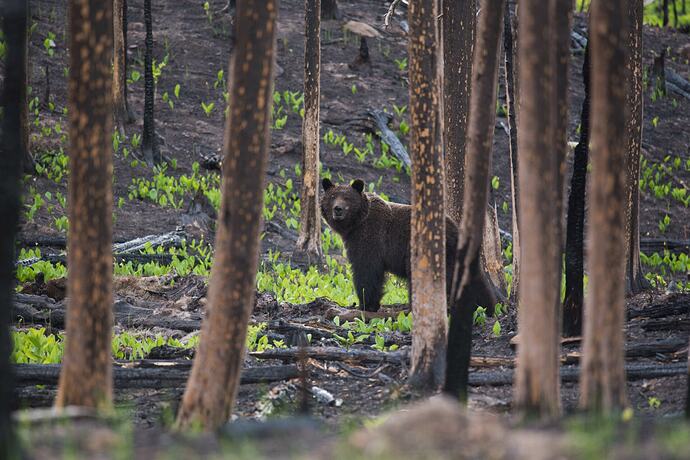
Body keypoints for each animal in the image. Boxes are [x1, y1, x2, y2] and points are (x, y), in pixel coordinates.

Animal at [320, 177, 460, 312]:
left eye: (347, 198)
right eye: (332, 197)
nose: (338, 209)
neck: (355, 224)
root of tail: (455, 228)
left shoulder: (370, 237)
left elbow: (367, 270)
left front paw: (366, 304)